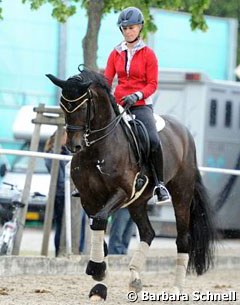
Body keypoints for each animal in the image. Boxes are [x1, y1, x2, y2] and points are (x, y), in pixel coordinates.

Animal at [46, 68, 215, 300]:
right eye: (63, 105)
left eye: (84, 106)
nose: (74, 145)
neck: (97, 150)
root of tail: (185, 133)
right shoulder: (89, 199)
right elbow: (98, 229)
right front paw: (100, 284)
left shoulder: (122, 192)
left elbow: (100, 221)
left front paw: (95, 270)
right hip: (137, 202)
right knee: (148, 232)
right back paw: (135, 279)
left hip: (181, 195)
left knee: (183, 240)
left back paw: (175, 289)